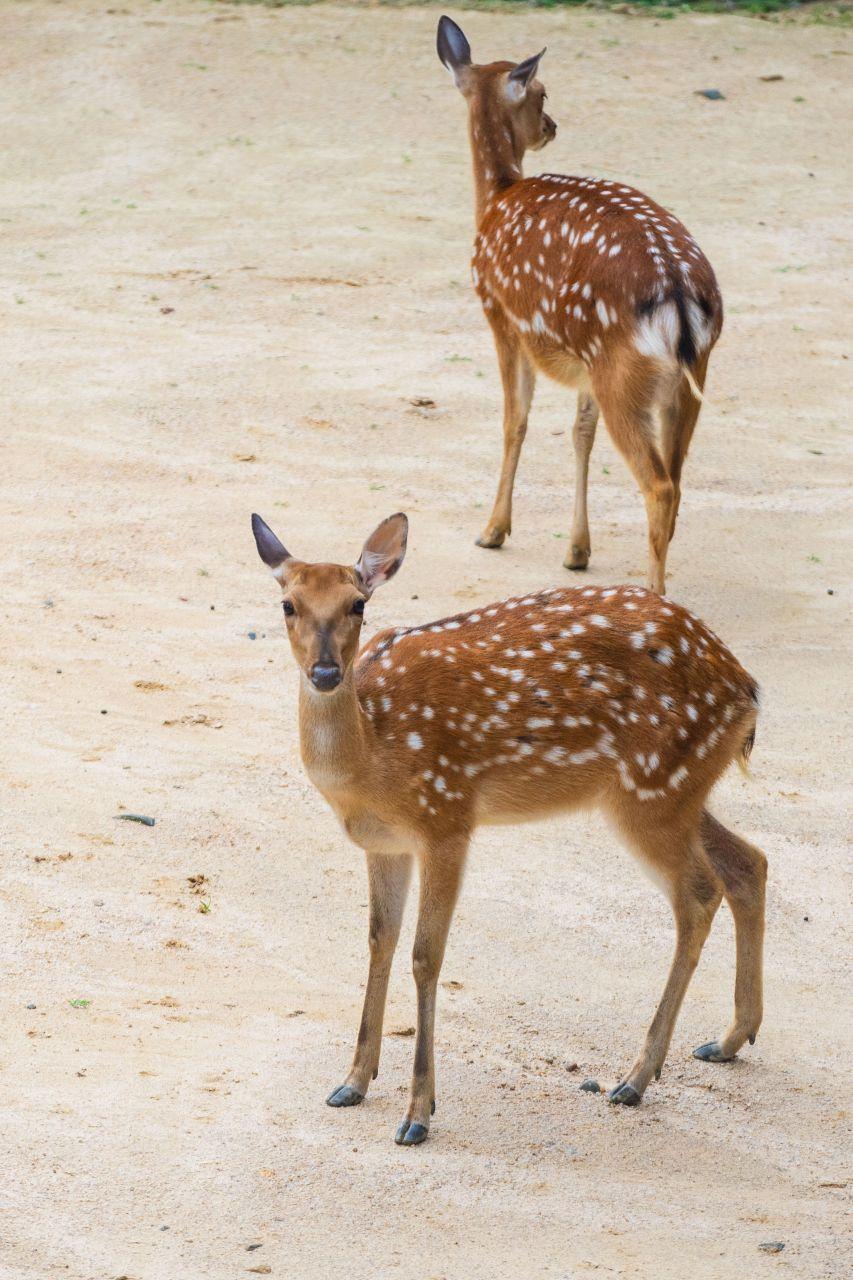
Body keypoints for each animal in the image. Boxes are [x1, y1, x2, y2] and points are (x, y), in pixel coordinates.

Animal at [251, 509, 763, 1152]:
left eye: (357, 605)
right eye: (288, 605)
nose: (324, 672)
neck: (373, 755)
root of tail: (746, 691)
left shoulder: (447, 817)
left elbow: (426, 955)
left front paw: (419, 1112)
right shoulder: (385, 843)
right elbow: (379, 940)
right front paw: (353, 1081)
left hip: (653, 790)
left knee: (699, 892)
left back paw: (636, 1077)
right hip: (673, 789)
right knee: (749, 862)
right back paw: (728, 1039)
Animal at [435, 15, 722, 593]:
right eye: (543, 95)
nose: (552, 125)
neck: (496, 198)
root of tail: (681, 294)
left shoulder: (501, 316)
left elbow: (514, 421)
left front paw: (493, 530)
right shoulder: (581, 359)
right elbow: (579, 434)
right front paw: (577, 551)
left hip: (623, 373)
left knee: (659, 485)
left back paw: (654, 595)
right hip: (684, 376)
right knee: (677, 478)